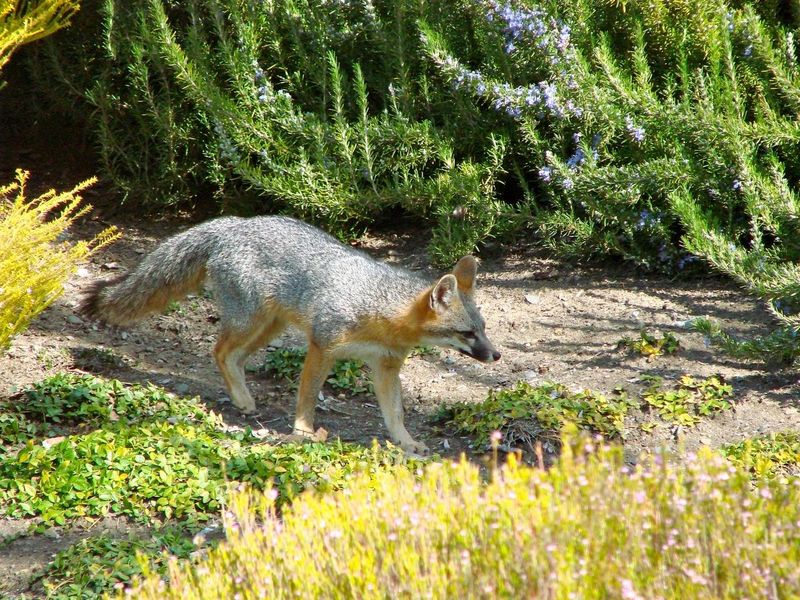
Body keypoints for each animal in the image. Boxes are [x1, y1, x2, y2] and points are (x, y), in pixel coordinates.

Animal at [80, 216, 500, 454]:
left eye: (483, 330)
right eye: (467, 333)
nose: (496, 356)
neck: (376, 307)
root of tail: (230, 223)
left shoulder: (385, 367)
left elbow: (395, 412)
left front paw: (406, 441)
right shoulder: (322, 346)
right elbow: (307, 398)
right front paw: (302, 432)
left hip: (269, 327)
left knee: (231, 356)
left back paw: (245, 398)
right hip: (250, 321)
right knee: (218, 350)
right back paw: (242, 399)